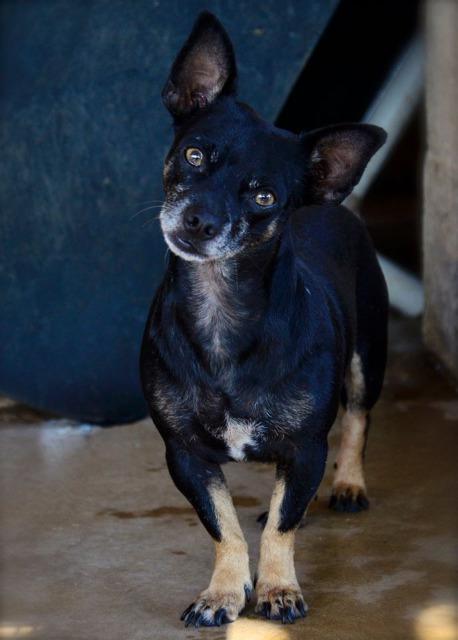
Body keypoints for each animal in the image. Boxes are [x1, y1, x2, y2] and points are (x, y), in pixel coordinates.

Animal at [139, 11, 386, 632]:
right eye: (194, 156)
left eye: (265, 197)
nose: (199, 219)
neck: (222, 310)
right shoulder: (186, 455)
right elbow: (223, 526)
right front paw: (224, 593)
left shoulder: (304, 447)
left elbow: (282, 526)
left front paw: (277, 589)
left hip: (367, 360)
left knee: (357, 419)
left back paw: (348, 483)